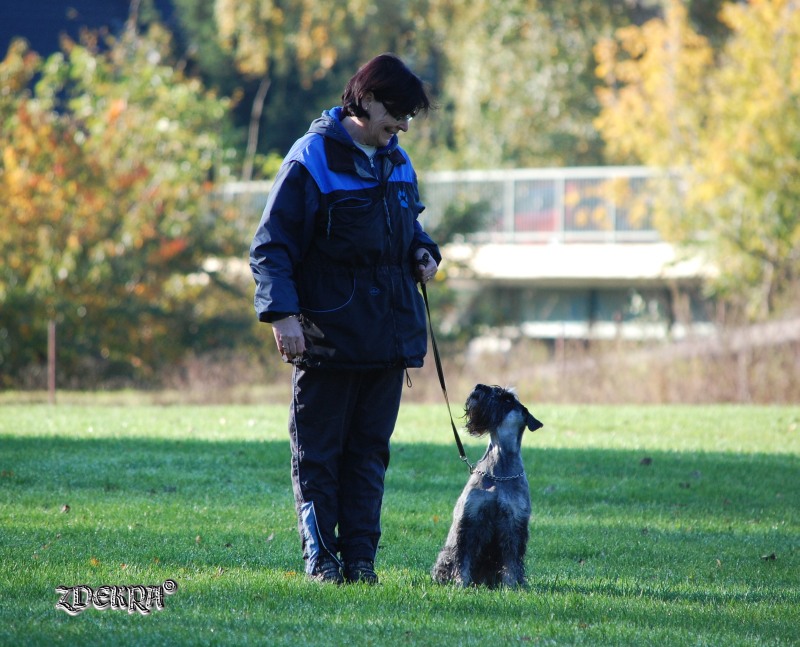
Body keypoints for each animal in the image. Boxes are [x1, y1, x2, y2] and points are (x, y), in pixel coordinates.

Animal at [432, 382, 544, 588]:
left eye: (508, 399)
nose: (479, 386)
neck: (498, 472)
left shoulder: (513, 522)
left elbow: (511, 560)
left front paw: (511, 585)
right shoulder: (470, 518)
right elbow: (463, 557)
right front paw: (461, 583)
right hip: (445, 555)